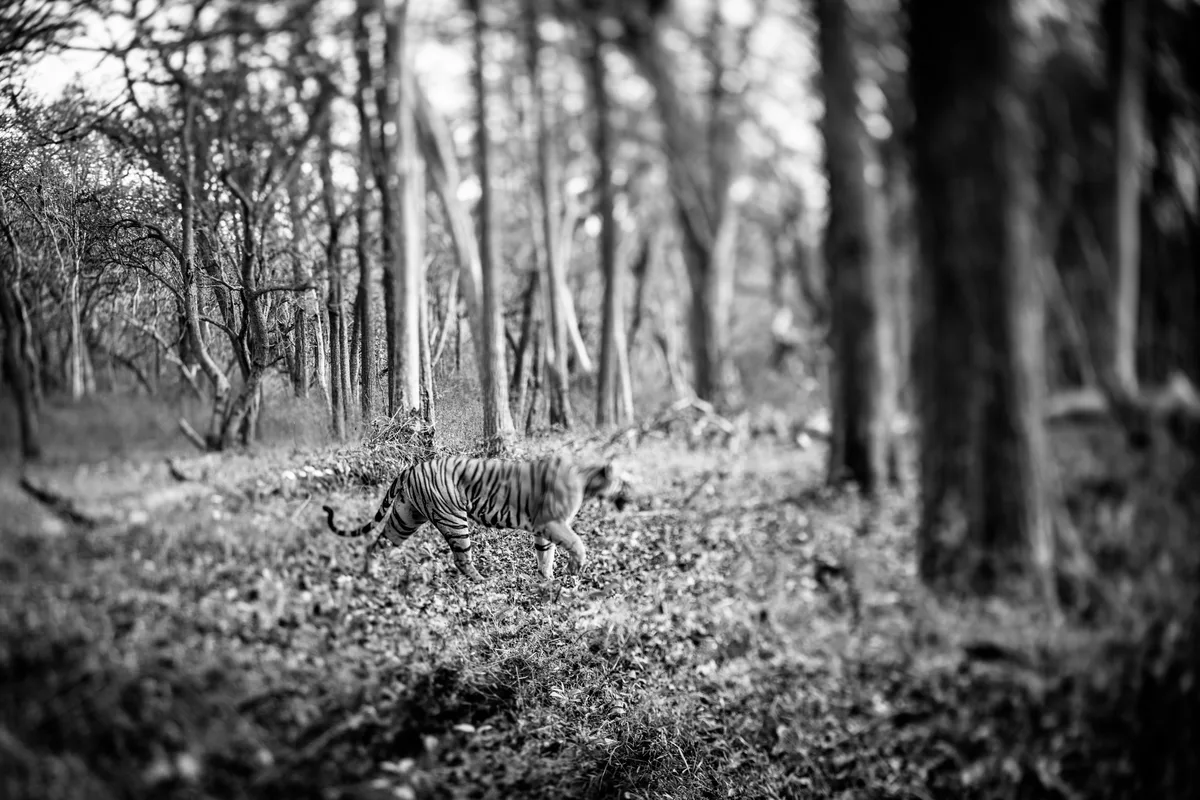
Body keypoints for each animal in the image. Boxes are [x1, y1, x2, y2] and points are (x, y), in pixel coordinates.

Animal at [321, 453, 629, 582]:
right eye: (625, 482)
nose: (631, 496)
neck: (587, 480)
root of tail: (411, 468)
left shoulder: (545, 527)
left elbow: (546, 554)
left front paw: (547, 579)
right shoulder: (553, 522)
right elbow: (578, 544)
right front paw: (573, 570)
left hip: (405, 517)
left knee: (378, 543)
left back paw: (370, 575)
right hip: (454, 520)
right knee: (461, 559)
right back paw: (482, 581)